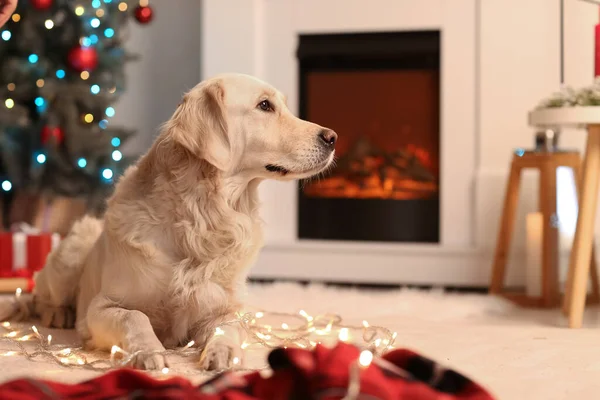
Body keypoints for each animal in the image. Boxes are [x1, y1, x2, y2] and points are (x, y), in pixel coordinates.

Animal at [0, 73, 338, 370]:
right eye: (265, 105)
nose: (332, 137)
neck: (202, 219)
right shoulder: (101, 307)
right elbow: (135, 316)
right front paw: (148, 352)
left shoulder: (225, 309)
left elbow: (227, 327)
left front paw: (224, 353)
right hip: (72, 252)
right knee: (39, 295)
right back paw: (57, 313)